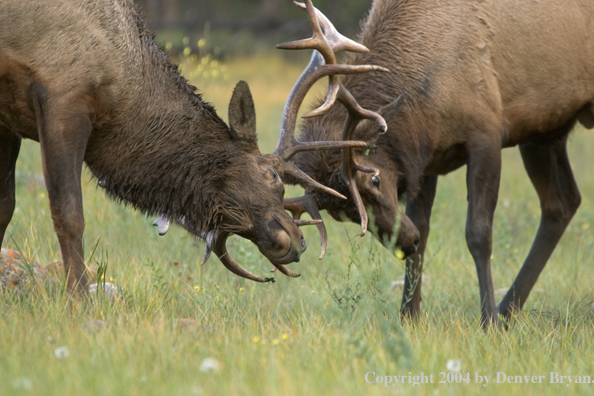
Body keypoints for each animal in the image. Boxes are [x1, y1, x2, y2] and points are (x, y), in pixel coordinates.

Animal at [0, 0, 382, 294]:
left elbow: (6, 209)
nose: (297, 240)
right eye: (272, 175)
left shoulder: (8, 121)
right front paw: (79, 301)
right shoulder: (64, 97)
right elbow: (69, 215)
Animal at [288, 0, 592, 326]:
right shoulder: (425, 160)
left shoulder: (487, 133)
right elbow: (424, 227)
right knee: (562, 202)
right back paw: (508, 311)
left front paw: (487, 321)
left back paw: (502, 314)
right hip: (545, 131)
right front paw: (409, 317)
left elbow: (478, 232)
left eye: (374, 179)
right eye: (341, 214)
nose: (404, 242)